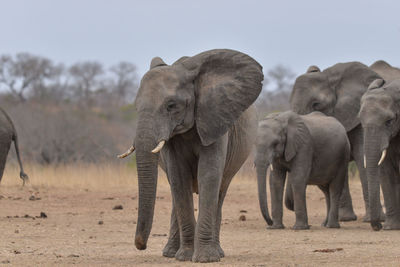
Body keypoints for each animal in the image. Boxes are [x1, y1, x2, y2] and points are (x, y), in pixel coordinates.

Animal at [117, 49, 264, 262]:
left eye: (171, 105)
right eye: (136, 107)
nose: (141, 246)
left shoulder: (215, 121)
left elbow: (209, 175)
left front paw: (206, 258)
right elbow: (179, 178)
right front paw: (185, 256)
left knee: (220, 192)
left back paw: (218, 252)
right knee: (175, 191)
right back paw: (170, 253)